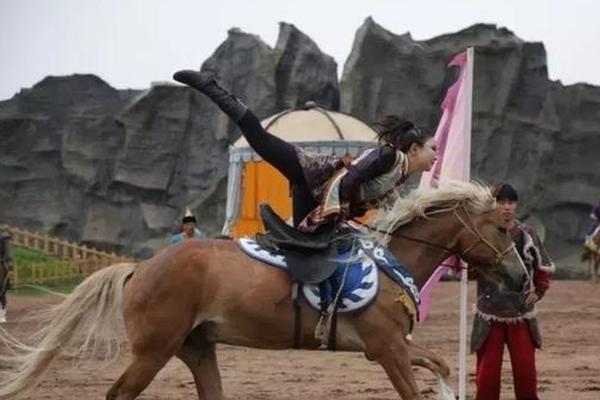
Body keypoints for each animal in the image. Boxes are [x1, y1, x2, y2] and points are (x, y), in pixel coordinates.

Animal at [0, 181, 526, 400]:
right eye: (503, 228)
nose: (521, 276)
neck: (393, 258)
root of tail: (140, 268)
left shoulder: (391, 346)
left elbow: (440, 364)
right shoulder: (387, 350)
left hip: (196, 348)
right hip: (153, 351)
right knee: (117, 394)